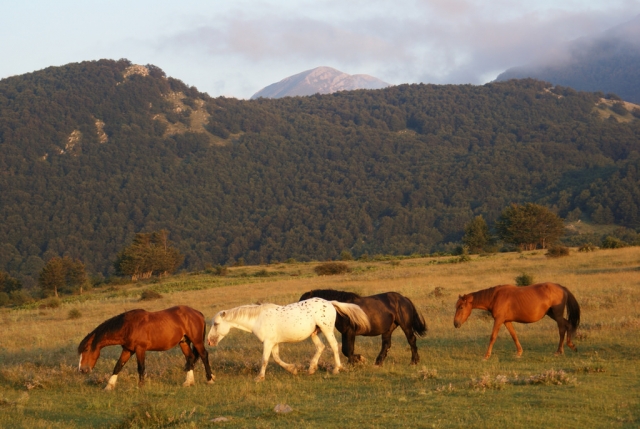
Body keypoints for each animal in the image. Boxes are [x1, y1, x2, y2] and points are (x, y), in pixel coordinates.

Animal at [78, 305, 214, 390]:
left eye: (86, 350)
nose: (82, 370)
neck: (128, 326)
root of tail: (197, 313)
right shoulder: (128, 350)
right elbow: (118, 366)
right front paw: (108, 387)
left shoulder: (140, 349)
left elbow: (141, 368)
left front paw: (141, 386)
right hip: (184, 342)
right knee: (190, 358)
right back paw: (188, 382)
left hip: (197, 341)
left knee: (204, 355)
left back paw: (209, 379)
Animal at [207, 297, 370, 382]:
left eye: (216, 324)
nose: (209, 341)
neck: (258, 319)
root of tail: (330, 302)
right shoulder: (274, 343)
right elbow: (277, 358)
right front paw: (293, 369)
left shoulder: (268, 343)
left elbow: (265, 359)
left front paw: (259, 377)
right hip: (314, 333)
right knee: (321, 347)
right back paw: (311, 369)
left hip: (327, 329)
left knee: (334, 346)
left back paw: (337, 369)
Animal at [299, 289, 427, 365]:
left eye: (303, 304)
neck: (342, 309)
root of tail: (404, 298)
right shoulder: (346, 333)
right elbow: (346, 350)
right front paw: (358, 359)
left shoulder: (349, 332)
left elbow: (348, 350)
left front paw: (356, 361)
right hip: (388, 329)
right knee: (386, 344)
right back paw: (378, 362)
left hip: (406, 326)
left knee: (411, 340)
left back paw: (414, 361)